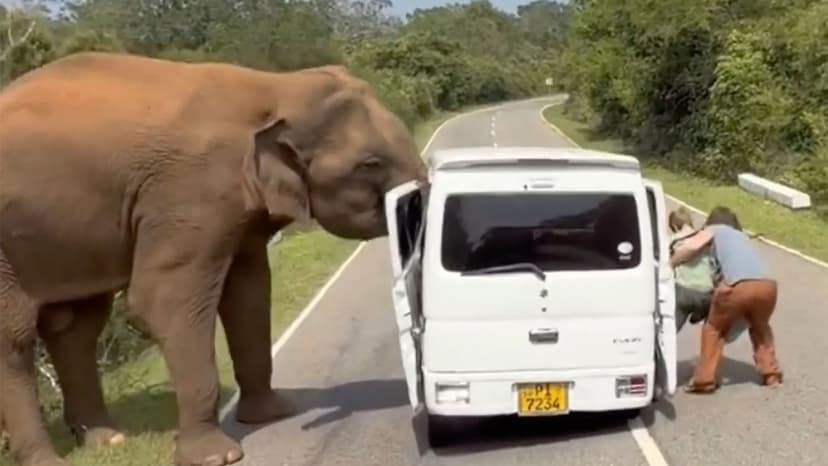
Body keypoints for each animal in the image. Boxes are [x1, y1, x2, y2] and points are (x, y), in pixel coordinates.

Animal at [0, 52, 428, 466]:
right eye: (370, 164)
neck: (275, 85)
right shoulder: (190, 194)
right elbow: (162, 301)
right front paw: (218, 456)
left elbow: (248, 292)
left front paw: (274, 414)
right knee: (17, 335)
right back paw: (49, 460)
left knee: (77, 324)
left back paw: (108, 441)